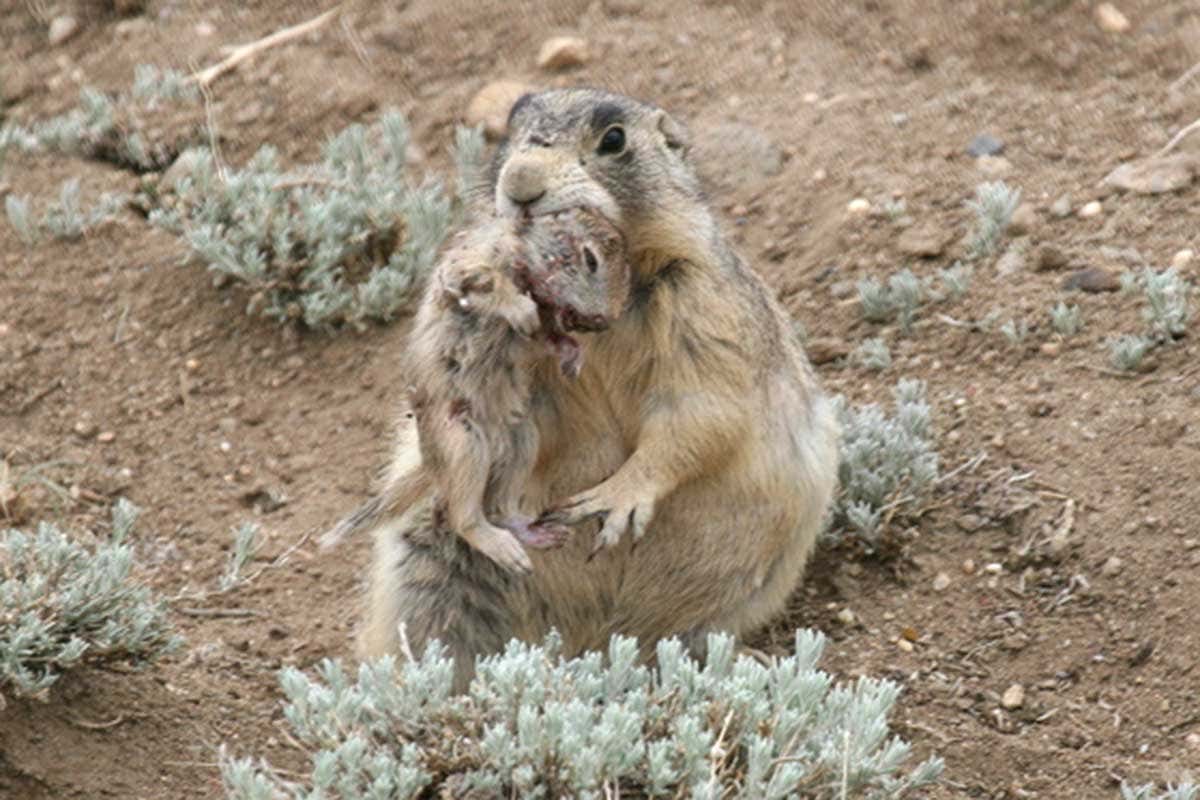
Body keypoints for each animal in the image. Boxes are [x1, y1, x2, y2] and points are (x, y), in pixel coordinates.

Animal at [323, 207, 631, 575]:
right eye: (590, 258)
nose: (603, 320)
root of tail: (432, 464)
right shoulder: (471, 263)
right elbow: (489, 284)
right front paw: (522, 310)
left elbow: (547, 338)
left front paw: (572, 357)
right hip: (465, 445)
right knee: (463, 518)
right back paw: (509, 554)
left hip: (522, 440)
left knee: (499, 508)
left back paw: (540, 536)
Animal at [356, 88, 840, 691]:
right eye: (510, 128)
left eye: (614, 139)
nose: (520, 182)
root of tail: (593, 643)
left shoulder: (707, 304)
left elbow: (702, 409)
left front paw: (612, 501)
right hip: (426, 563)